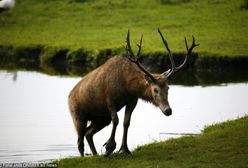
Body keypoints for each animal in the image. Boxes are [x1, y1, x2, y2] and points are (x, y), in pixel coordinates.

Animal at [68, 28, 200, 156]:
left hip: (101, 118)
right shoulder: (109, 99)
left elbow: (126, 122)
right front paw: (109, 147)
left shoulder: (132, 101)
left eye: (168, 88)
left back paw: (95, 155)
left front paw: (125, 149)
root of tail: (69, 96)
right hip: (78, 115)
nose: (168, 110)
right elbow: (116, 120)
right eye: (155, 89)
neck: (127, 86)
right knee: (80, 140)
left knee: (88, 134)